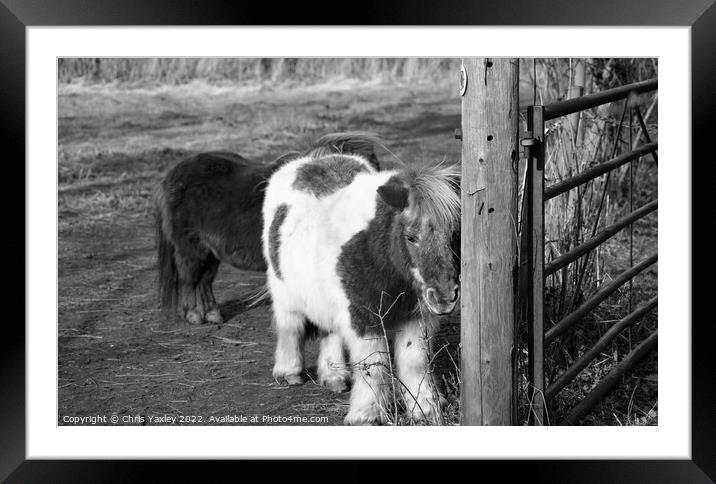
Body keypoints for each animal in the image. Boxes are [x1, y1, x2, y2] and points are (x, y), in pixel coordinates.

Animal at [155, 131, 384, 326]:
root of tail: (173, 175)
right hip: (191, 248)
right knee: (189, 279)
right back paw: (193, 315)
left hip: (210, 252)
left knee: (204, 281)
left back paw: (212, 315)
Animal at [262, 138, 458, 426]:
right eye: (411, 237)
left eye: (453, 233)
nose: (445, 297)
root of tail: (312, 159)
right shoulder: (363, 318)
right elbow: (372, 367)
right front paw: (367, 415)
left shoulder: (416, 317)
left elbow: (416, 362)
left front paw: (426, 409)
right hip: (284, 292)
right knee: (291, 327)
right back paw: (289, 372)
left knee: (328, 331)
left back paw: (334, 377)